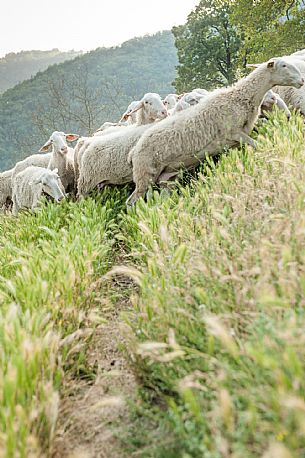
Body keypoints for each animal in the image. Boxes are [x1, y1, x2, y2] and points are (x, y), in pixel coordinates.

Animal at [127, 56, 302, 205]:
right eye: (283, 65)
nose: (302, 80)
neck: (240, 97)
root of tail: (134, 151)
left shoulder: (235, 141)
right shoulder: (234, 132)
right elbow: (258, 146)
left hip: (166, 176)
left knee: (159, 197)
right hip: (146, 173)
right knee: (132, 200)